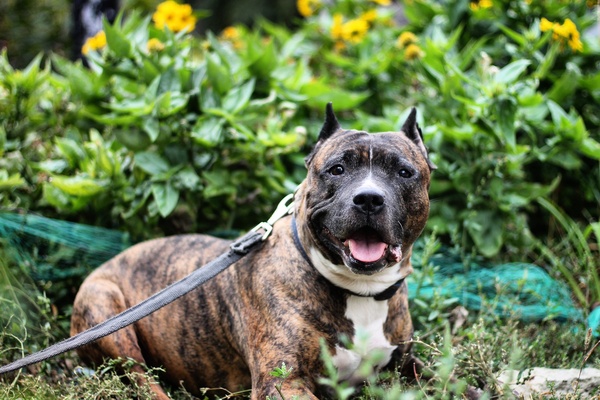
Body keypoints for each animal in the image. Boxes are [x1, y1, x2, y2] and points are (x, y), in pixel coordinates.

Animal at [71, 103, 436, 399]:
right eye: (337, 169)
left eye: (404, 172)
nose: (369, 198)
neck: (359, 291)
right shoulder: (281, 381)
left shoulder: (407, 363)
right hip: (106, 314)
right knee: (140, 377)